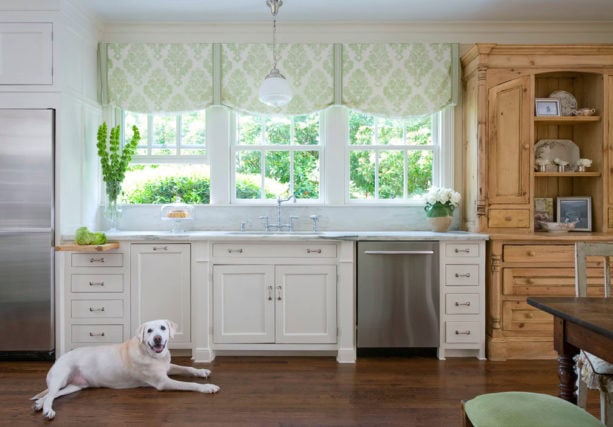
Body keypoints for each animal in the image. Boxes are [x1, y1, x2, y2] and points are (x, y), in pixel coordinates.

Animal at [31, 320, 219, 420]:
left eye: (163, 328)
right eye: (149, 330)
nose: (157, 338)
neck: (151, 354)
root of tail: (60, 356)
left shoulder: (167, 367)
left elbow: (187, 368)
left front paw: (202, 371)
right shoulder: (163, 382)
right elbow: (190, 384)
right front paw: (208, 387)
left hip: (76, 386)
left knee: (53, 394)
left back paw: (39, 404)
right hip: (60, 376)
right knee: (51, 395)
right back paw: (46, 409)